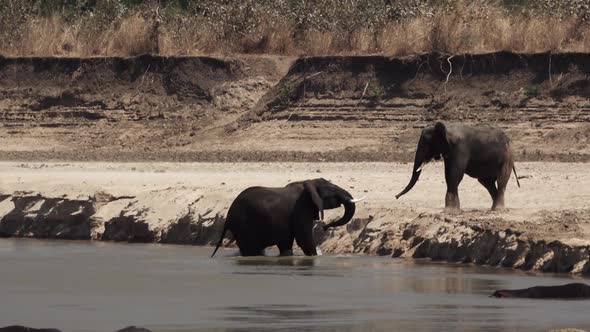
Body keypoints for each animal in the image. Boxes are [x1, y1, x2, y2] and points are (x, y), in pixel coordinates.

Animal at [208, 178, 366, 258]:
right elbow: (304, 240)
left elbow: (287, 244)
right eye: (332, 192)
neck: (308, 182)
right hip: (244, 225)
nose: (325, 226)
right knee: (252, 249)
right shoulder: (301, 208)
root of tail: (228, 216)